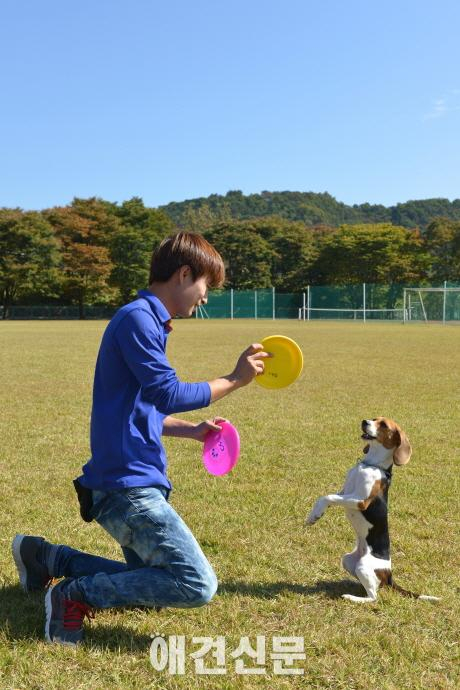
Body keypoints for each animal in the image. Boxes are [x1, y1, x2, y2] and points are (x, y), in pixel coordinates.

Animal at [306, 416, 438, 600]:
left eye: (383, 425)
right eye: (375, 418)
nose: (364, 421)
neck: (369, 465)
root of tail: (389, 575)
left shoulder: (360, 501)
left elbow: (327, 496)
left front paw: (315, 514)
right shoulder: (344, 492)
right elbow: (330, 497)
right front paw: (314, 514)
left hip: (363, 565)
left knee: (373, 597)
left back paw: (351, 597)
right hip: (348, 560)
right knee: (373, 586)